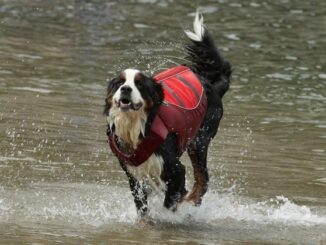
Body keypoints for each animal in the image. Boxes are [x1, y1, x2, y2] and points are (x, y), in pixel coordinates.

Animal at [105, 12, 232, 218]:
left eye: (139, 84)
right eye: (119, 83)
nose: (125, 89)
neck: (136, 127)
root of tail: (211, 85)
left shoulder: (175, 169)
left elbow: (171, 201)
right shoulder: (134, 176)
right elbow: (142, 208)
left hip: (199, 141)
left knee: (203, 179)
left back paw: (192, 201)